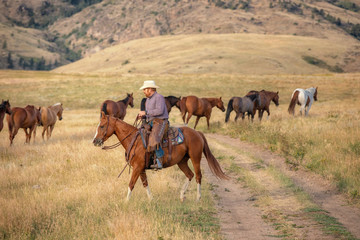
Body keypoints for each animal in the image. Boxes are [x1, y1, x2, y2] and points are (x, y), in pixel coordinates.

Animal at [93, 111, 228, 202]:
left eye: (102, 126)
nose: (95, 141)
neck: (134, 140)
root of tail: (198, 133)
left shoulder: (137, 167)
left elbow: (131, 184)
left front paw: (126, 202)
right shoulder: (140, 168)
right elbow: (145, 183)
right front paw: (151, 199)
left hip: (195, 158)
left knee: (198, 176)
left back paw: (198, 198)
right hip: (182, 161)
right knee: (190, 175)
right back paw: (182, 195)